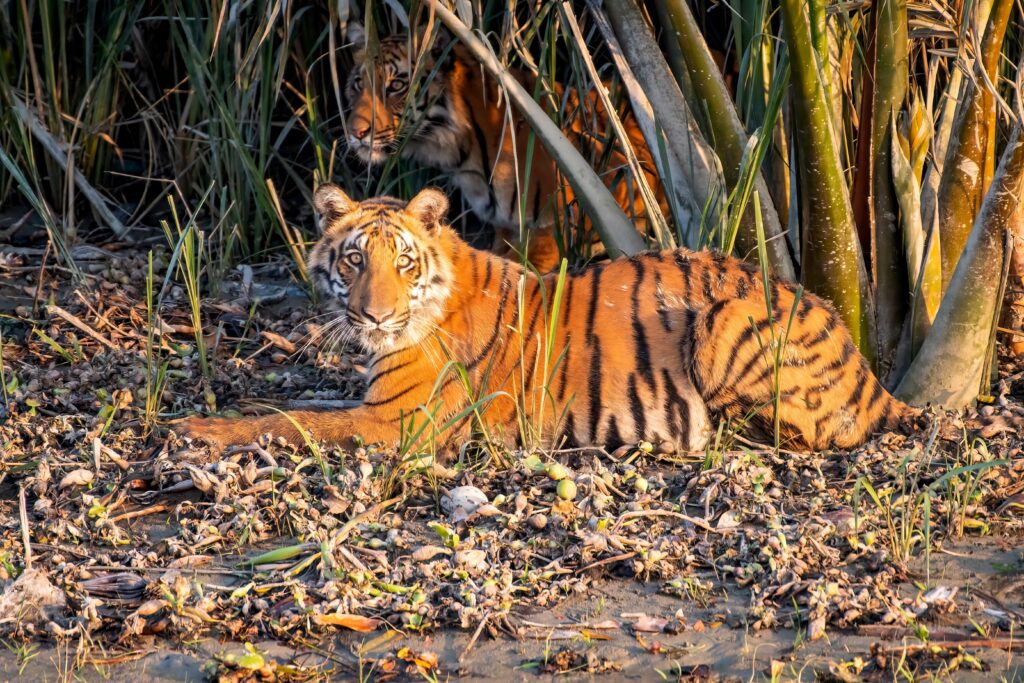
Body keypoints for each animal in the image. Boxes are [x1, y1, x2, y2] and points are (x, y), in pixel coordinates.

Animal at [179, 185, 917, 454]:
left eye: (403, 264)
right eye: (355, 259)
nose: (374, 315)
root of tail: (871, 373)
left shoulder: (397, 422)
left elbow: (294, 421)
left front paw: (197, 431)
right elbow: (292, 405)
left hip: (724, 320)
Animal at [343, 22, 667, 272]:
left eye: (396, 86)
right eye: (358, 83)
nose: (355, 132)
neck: (463, 154)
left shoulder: (551, 234)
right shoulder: (506, 228)